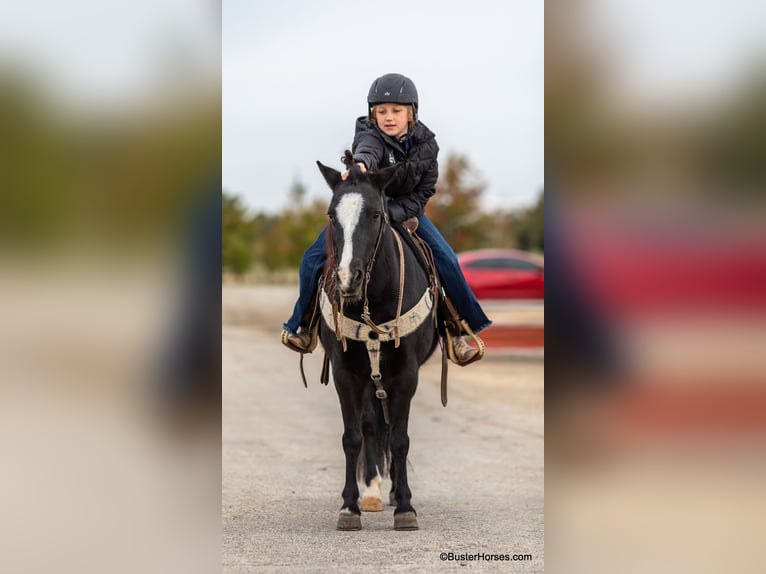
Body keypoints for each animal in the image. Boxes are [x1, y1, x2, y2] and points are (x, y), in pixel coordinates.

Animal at [316, 156, 440, 532]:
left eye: (375, 214)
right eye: (331, 214)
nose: (347, 279)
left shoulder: (407, 374)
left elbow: (400, 438)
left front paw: (405, 507)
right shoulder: (344, 372)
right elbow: (354, 435)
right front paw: (349, 507)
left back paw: (394, 491)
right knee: (372, 425)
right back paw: (371, 490)